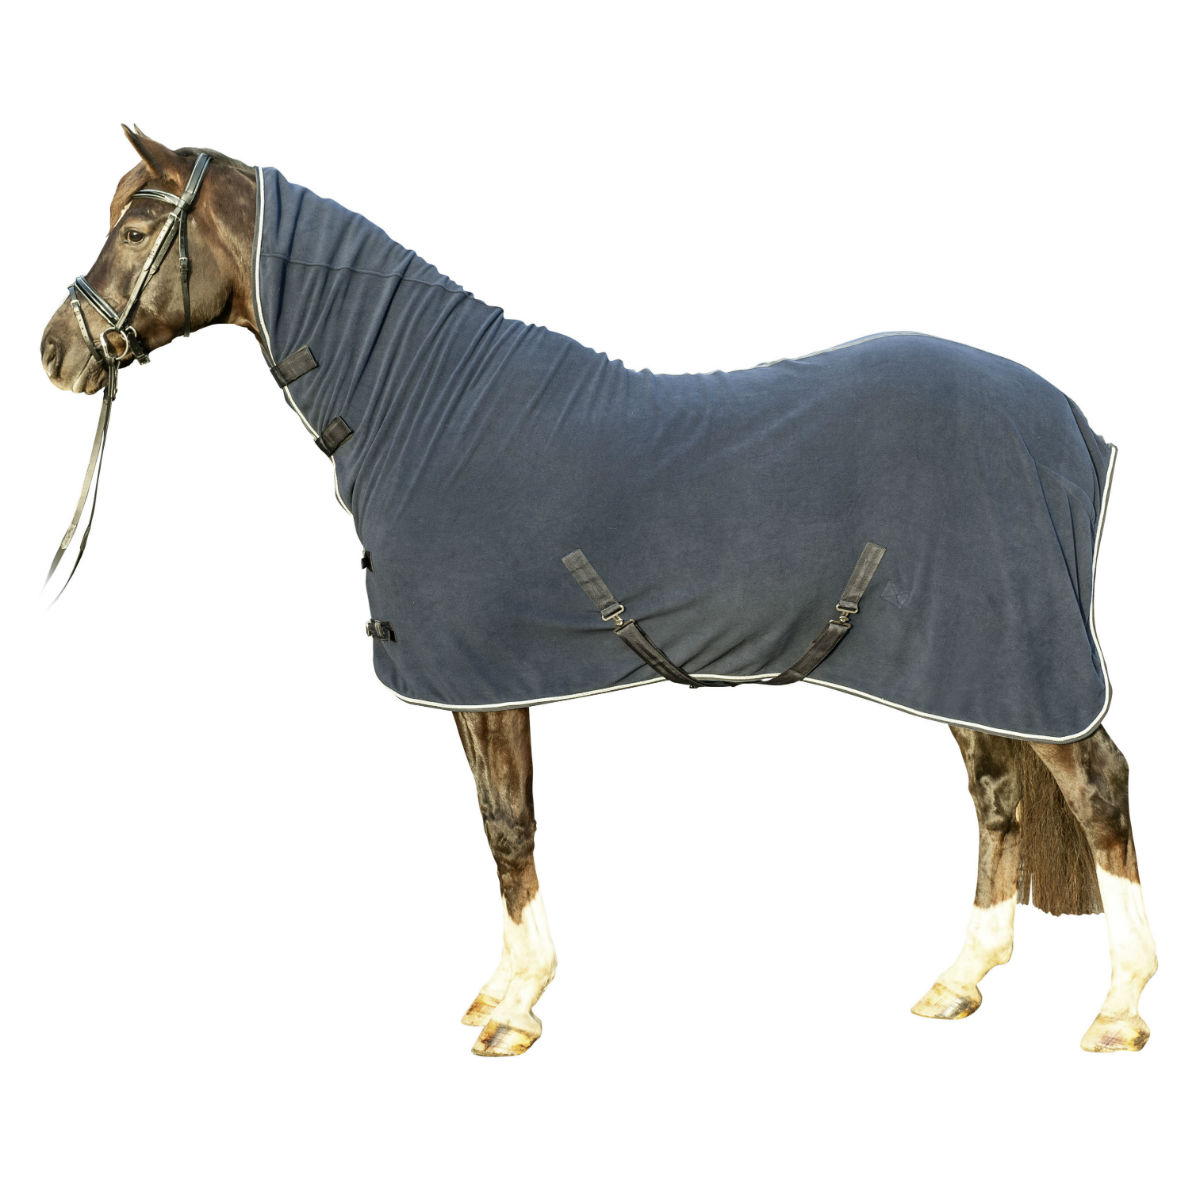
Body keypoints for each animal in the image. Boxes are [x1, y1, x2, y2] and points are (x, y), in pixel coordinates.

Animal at [39, 127, 1157, 1055]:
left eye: (137, 226)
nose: (57, 353)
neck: (434, 415)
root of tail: (1069, 424)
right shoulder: (480, 684)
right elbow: (498, 823)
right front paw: (502, 991)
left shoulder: (488, 682)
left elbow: (507, 827)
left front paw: (515, 1005)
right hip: (968, 664)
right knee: (998, 797)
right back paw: (958, 983)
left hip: (1019, 654)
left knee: (1095, 784)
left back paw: (1119, 1008)